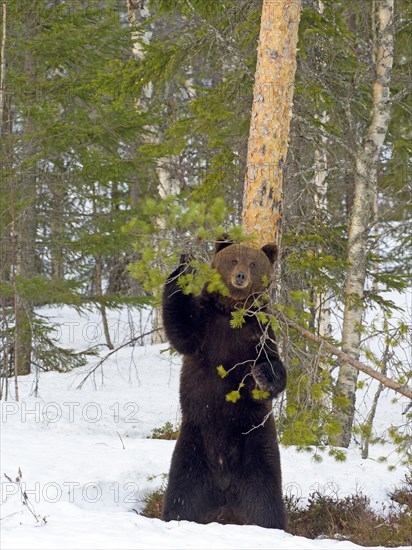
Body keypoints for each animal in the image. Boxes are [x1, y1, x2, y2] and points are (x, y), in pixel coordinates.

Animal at [161, 237, 286, 532]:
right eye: (233, 260)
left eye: (253, 263)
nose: (240, 276)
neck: (232, 311)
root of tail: (224, 487)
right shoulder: (205, 327)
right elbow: (181, 328)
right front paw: (184, 267)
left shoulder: (259, 333)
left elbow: (274, 364)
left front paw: (262, 375)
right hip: (192, 448)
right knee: (180, 495)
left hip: (257, 449)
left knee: (266, 504)